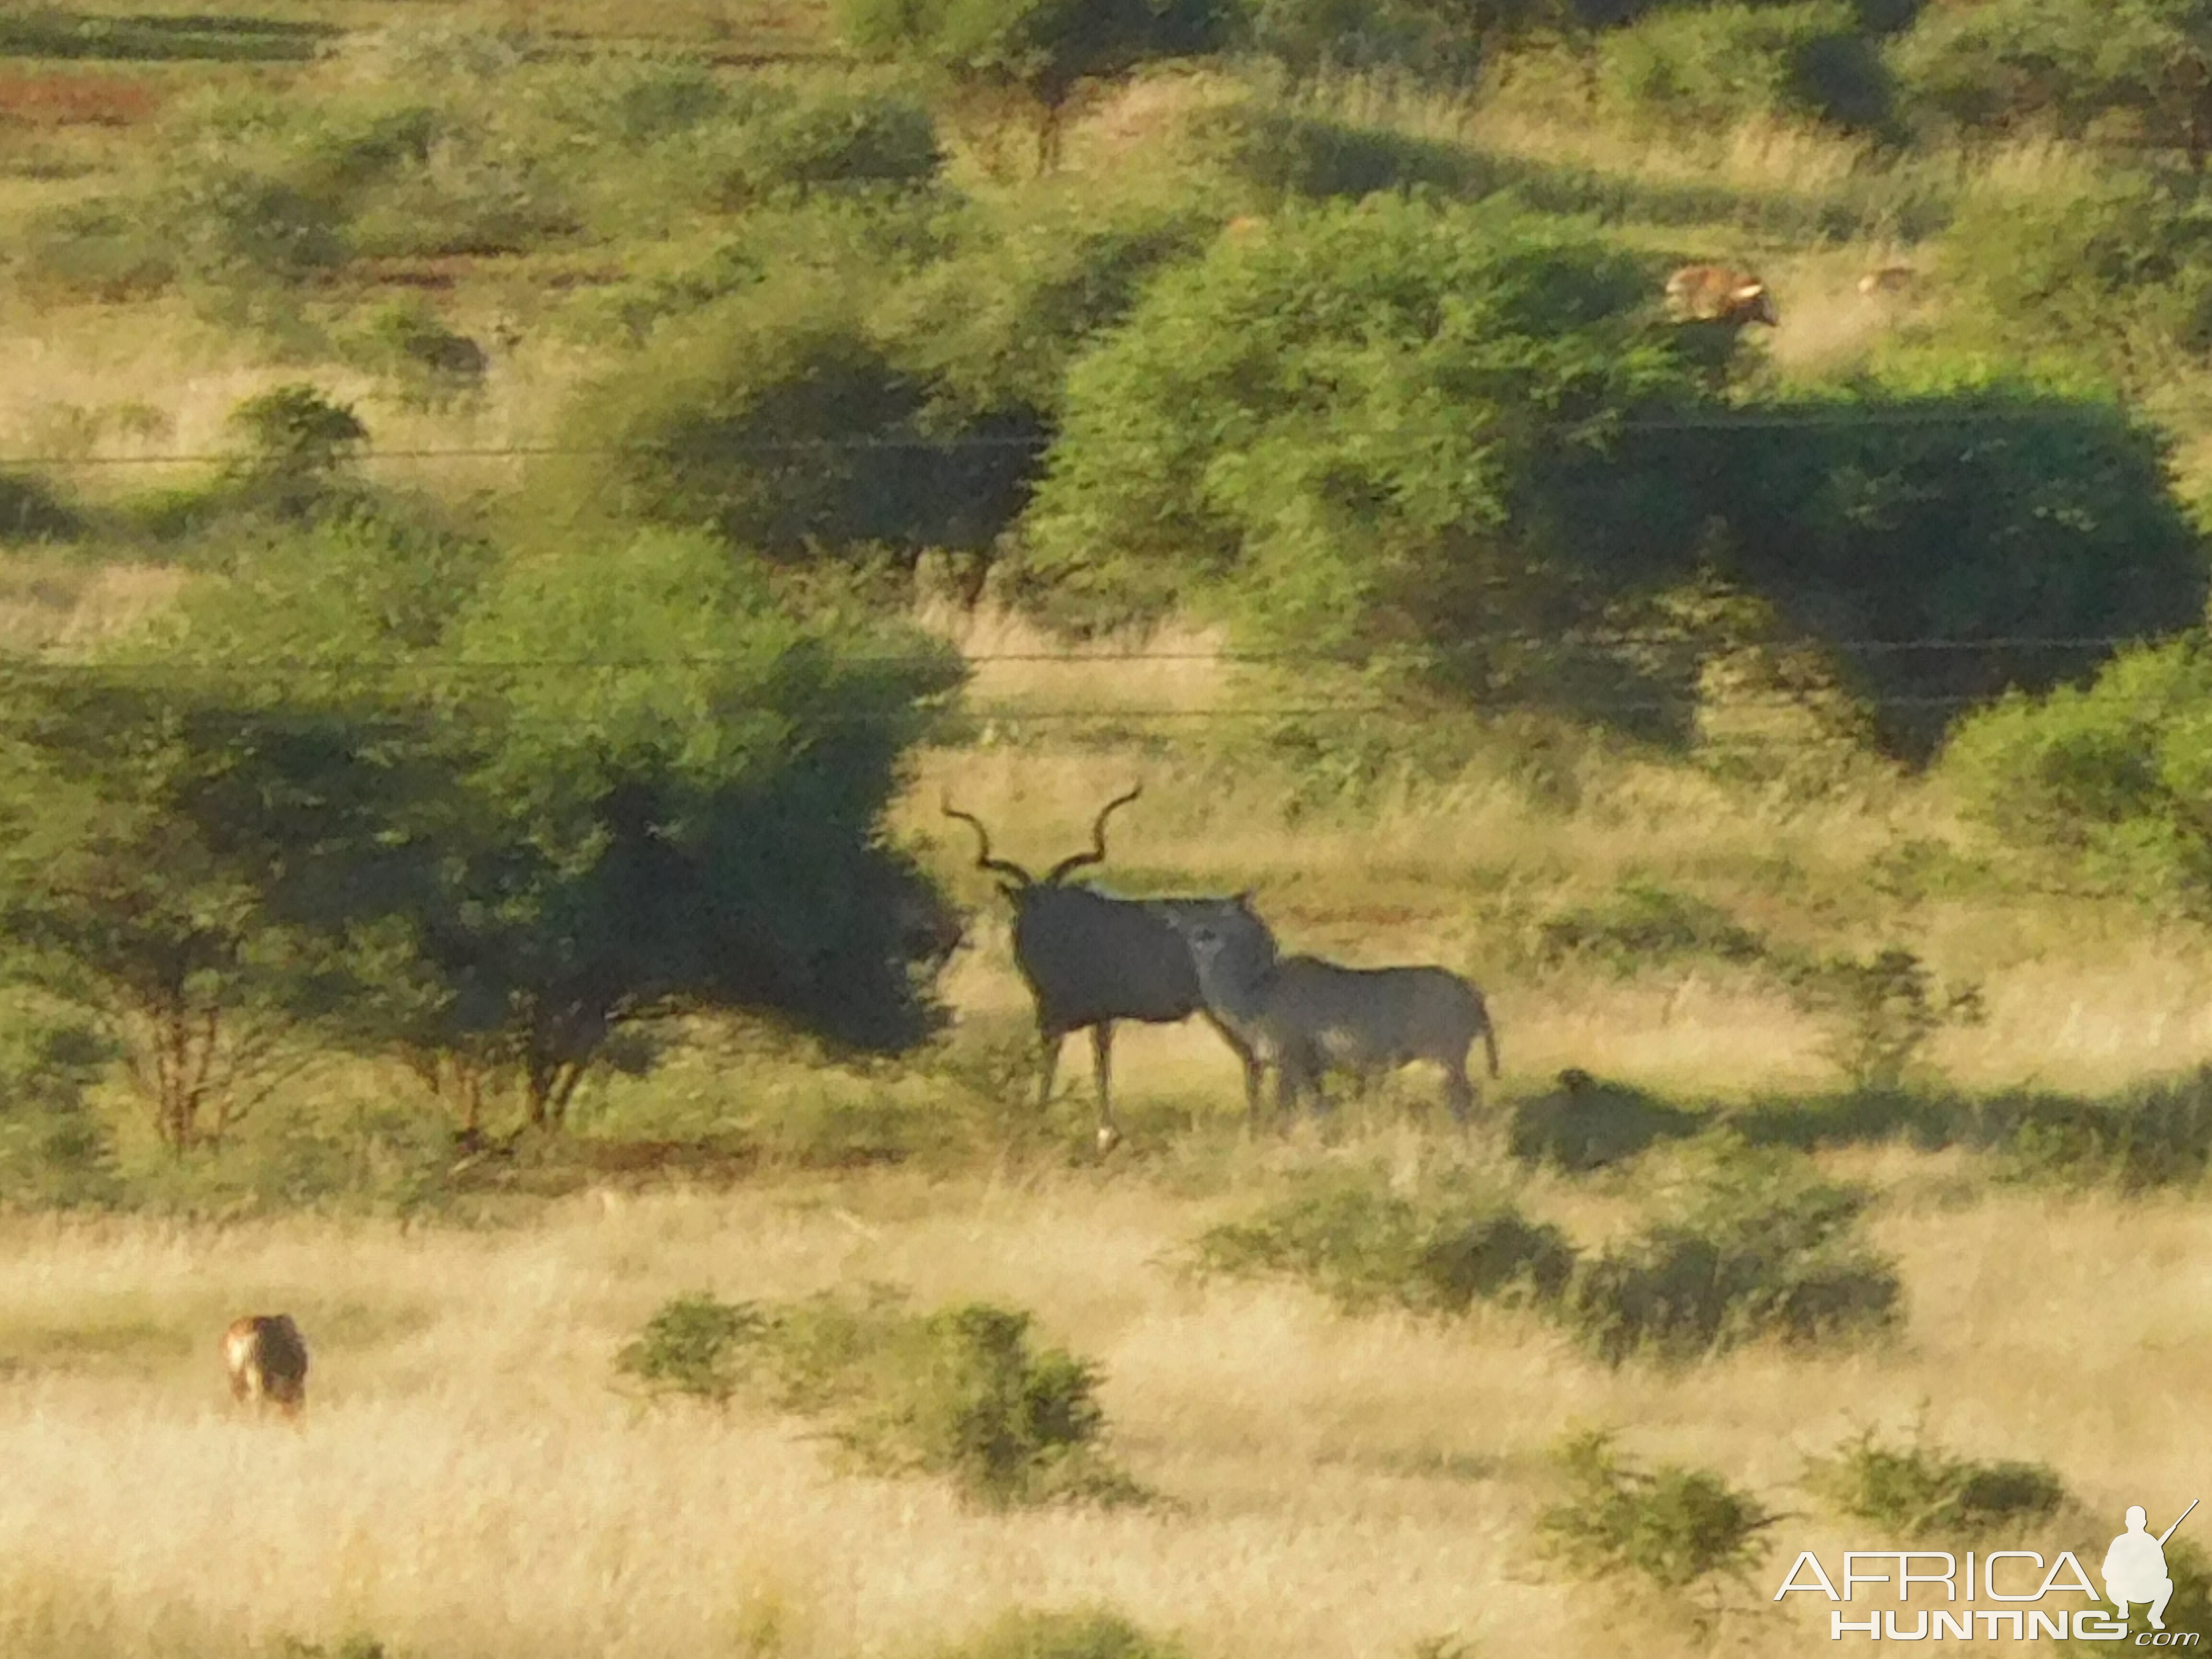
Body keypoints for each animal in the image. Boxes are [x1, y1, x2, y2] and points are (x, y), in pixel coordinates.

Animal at [942, 783, 1274, 1150]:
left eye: (1057, 902)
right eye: (1026, 904)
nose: (1040, 930)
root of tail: (1248, 915)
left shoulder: (1078, 1017)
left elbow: (1081, 1066)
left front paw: (1084, 1129)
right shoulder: (1085, 1018)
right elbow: (1092, 1065)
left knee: (1255, 1055)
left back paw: (1256, 1130)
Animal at [1159, 902, 1504, 1123]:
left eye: (1211, 928)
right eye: (1194, 927)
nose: (1194, 935)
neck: (1255, 993)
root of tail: (1473, 992)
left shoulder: (1293, 1062)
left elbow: (1296, 1111)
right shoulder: (1310, 1070)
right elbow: (1312, 1109)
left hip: (1448, 1059)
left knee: (1465, 1099)